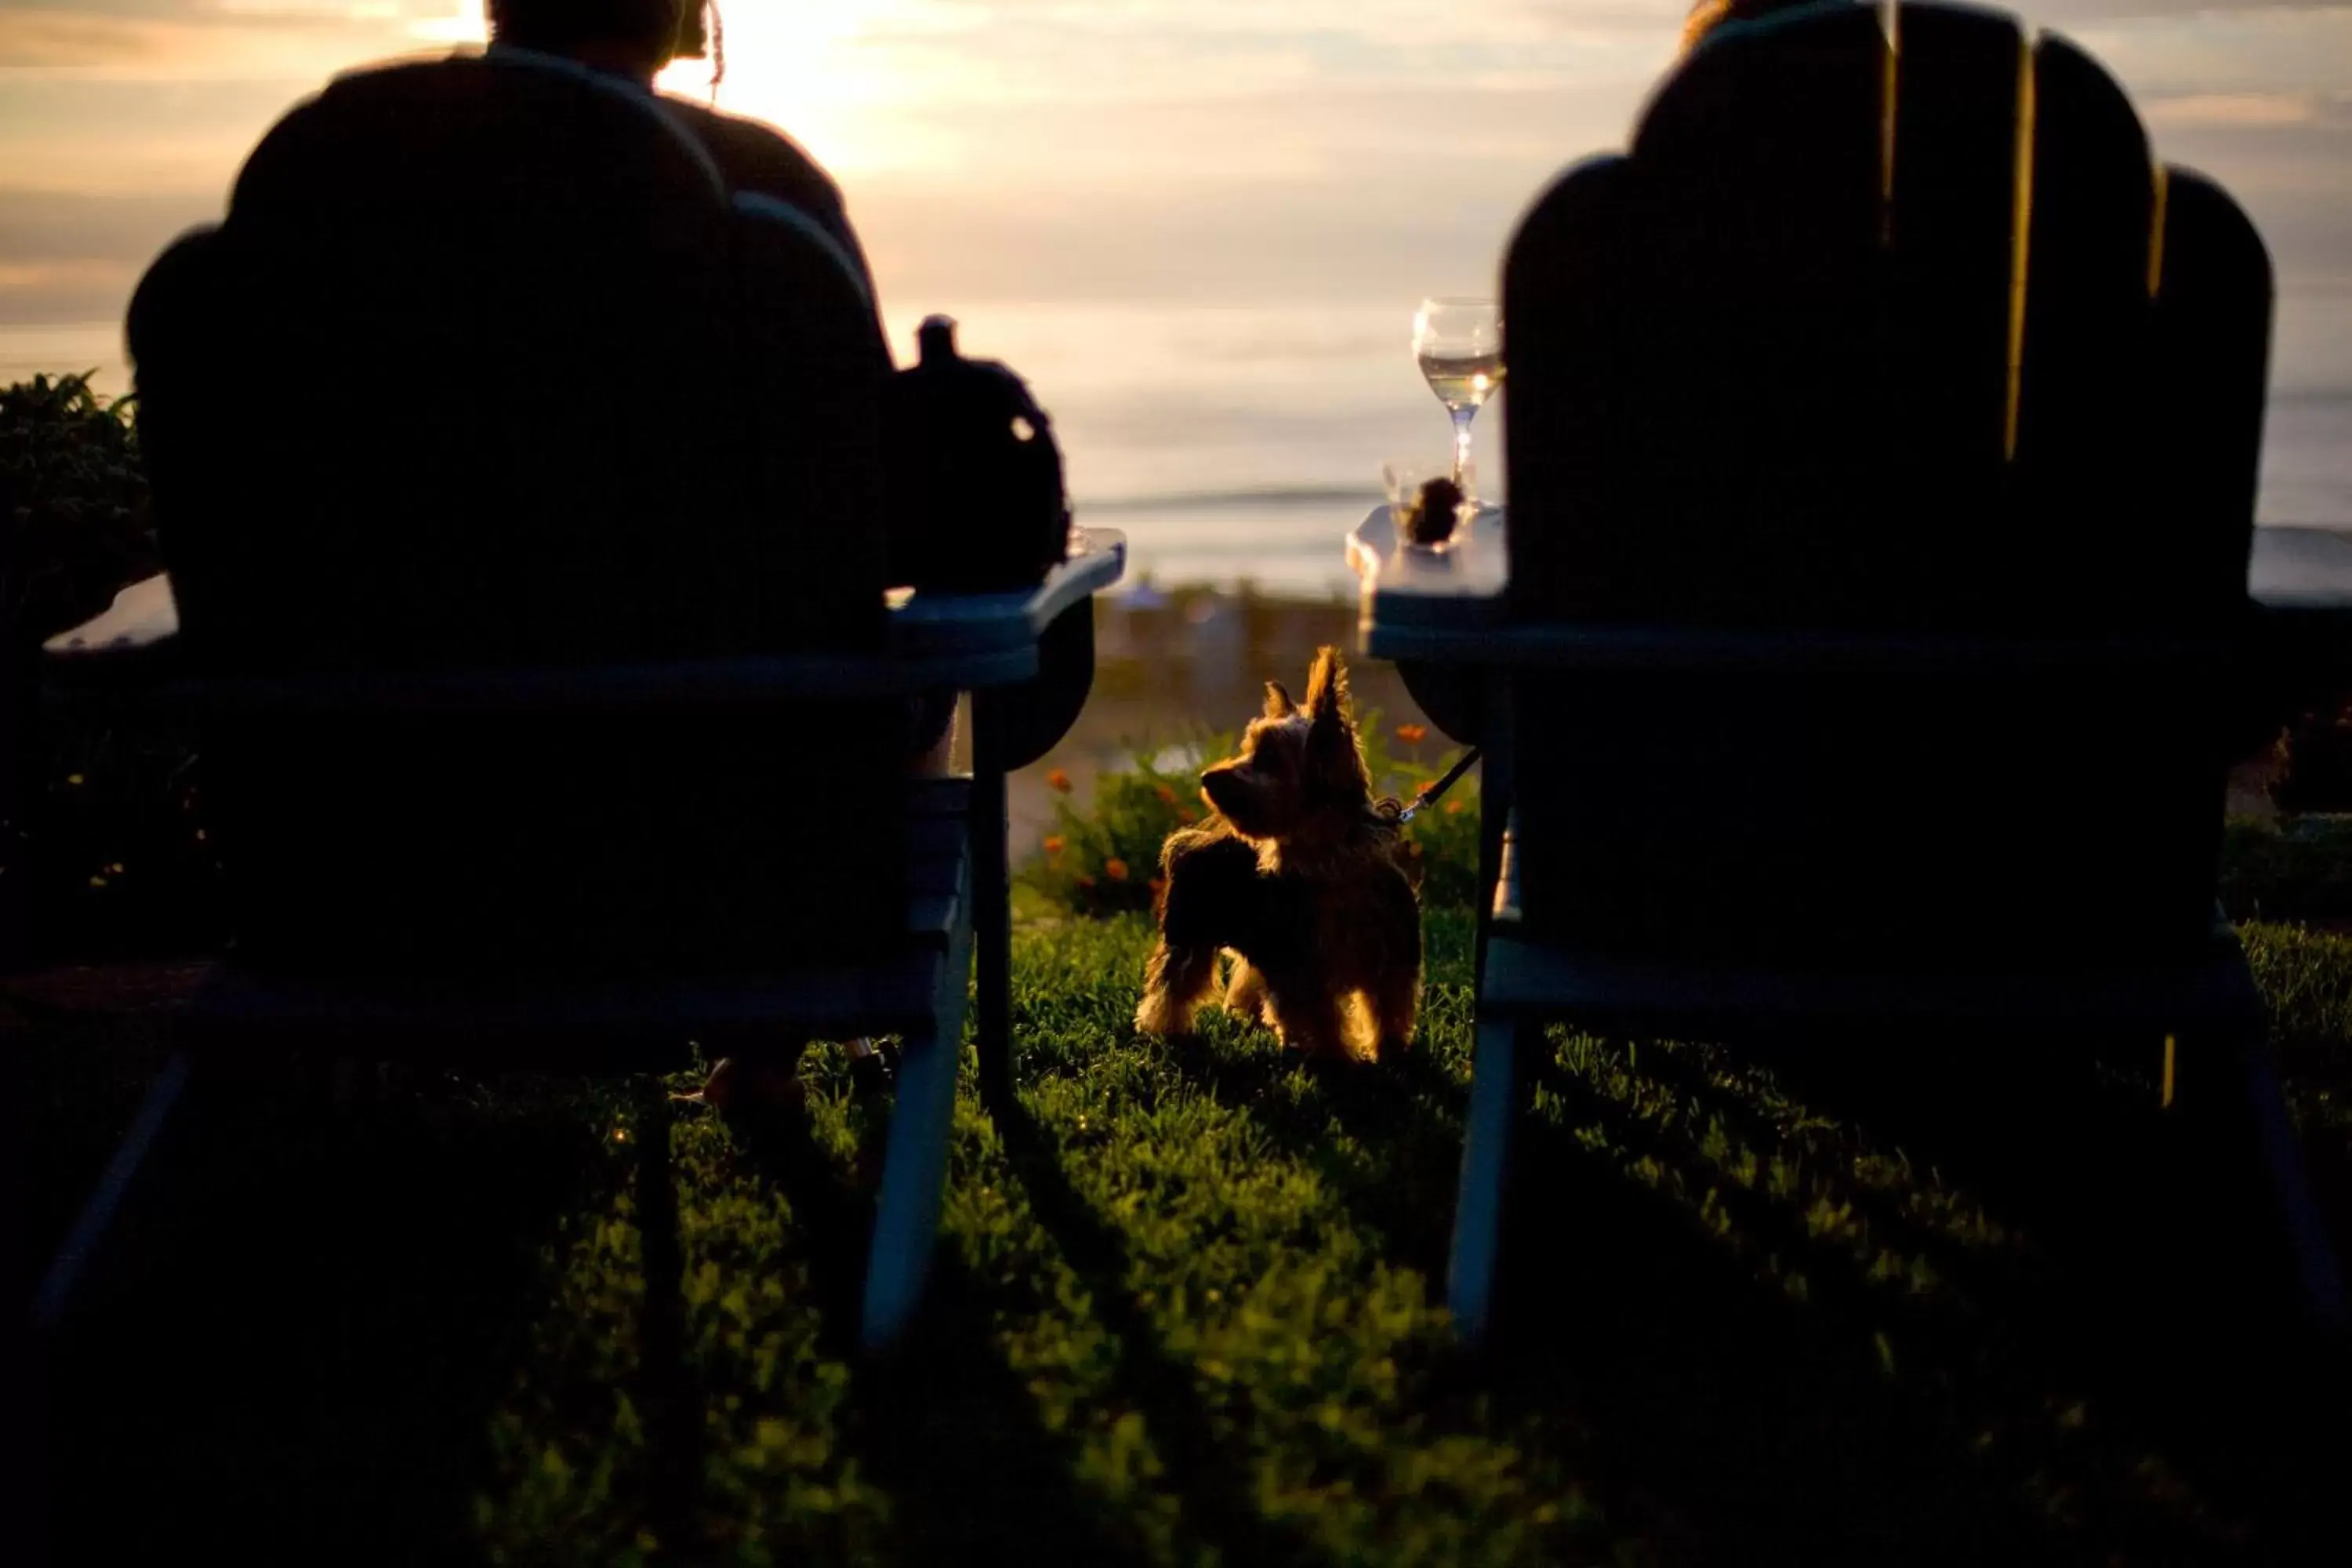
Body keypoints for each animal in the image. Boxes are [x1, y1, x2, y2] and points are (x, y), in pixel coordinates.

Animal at [1129, 644, 1421, 1062]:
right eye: (1248, 749)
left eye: (1269, 757)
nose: (1206, 778)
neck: (1329, 865)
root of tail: (1197, 835)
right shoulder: (1299, 968)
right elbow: (1318, 1017)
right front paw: (1333, 1058)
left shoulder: (1392, 958)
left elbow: (1388, 1010)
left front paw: (1391, 1053)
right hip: (1189, 929)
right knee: (1174, 983)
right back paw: (1166, 1030)